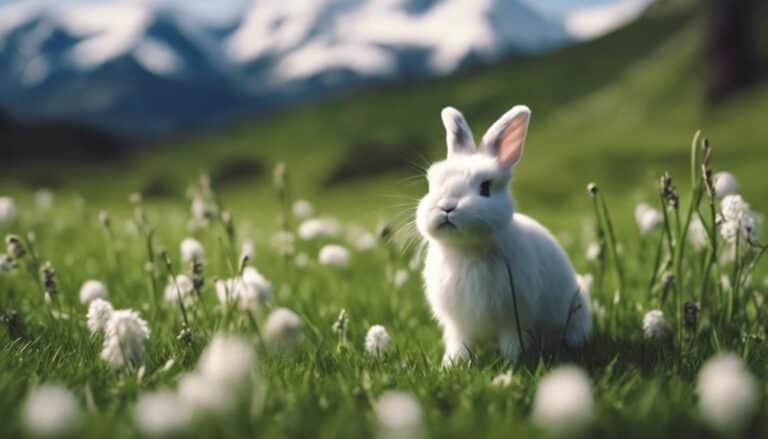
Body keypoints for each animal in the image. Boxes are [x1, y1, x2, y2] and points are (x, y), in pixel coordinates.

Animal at [416, 105, 591, 367]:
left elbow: (512, 342)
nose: (447, 207)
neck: (467, 250)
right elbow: (459, 343)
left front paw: (512, 363)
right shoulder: (458, 324)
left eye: (485, 188)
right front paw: (452, 364)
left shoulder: (514, 317)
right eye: (432, 184)